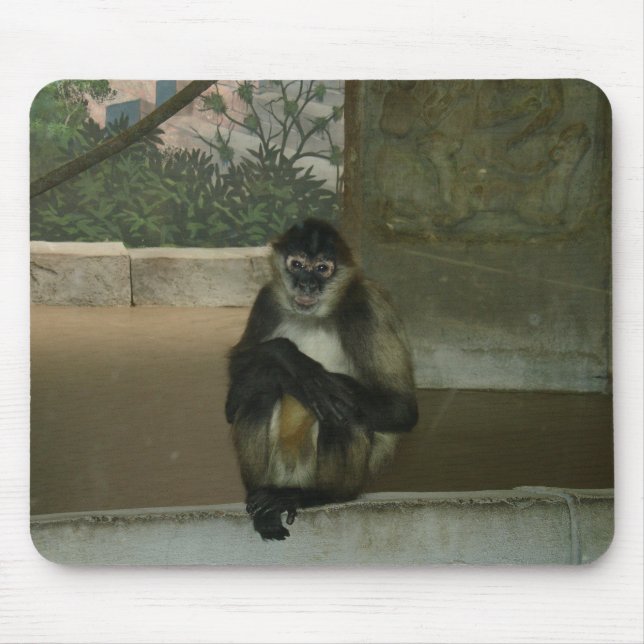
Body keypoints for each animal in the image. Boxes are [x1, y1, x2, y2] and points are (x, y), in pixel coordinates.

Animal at [225, 219, 418, 540]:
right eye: (297, 264)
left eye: (322, 268)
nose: (307, 284)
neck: (313, 317)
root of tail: (292, 478)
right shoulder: (267, 298)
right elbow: (238, 371)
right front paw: (293, 364)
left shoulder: (367, 306)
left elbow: (402, 408)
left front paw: (305, 378)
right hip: (278, 467)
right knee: (260, 386)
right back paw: (261, 498)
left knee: (341, 403)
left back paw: (316, 496)